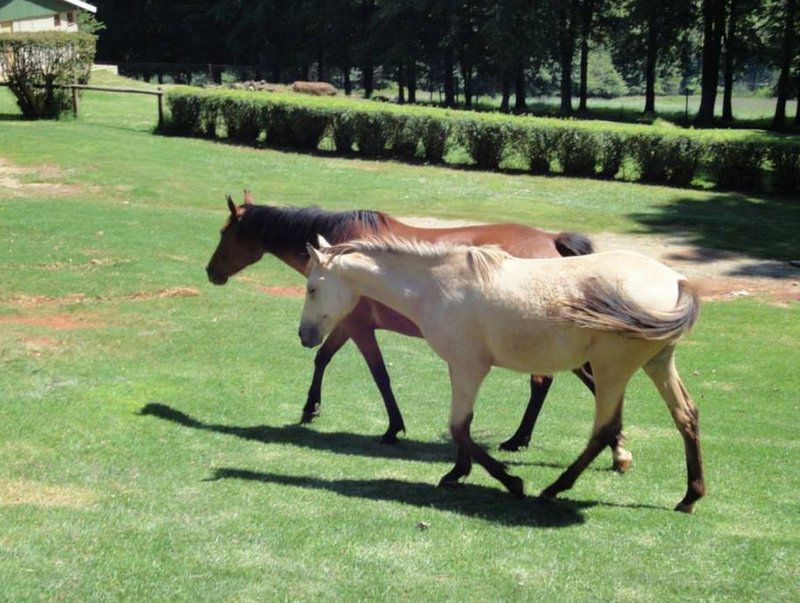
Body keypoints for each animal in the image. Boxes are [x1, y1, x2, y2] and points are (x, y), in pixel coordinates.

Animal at [205, 191, 632, 470]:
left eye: (224, 233)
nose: (210, 272)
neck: (348, 256)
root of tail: (552, 242)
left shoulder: (358, 327)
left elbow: (377, 375)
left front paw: (392, 427)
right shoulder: (347, 325)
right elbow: (324, 358)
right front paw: (312, 407)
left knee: (564, 383)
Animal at [298, 236, 708, 516]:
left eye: (312, 287)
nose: (304, 335)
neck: (438, 285)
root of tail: (676, 280)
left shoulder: (467, 367)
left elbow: (459, 427)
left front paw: (509, 481)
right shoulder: (462, 368)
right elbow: (461, 428)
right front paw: (458, 472)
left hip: (611, 369)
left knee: (605, 429)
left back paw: (555, 488)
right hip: (656, 364)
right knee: (685, 416)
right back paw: (690, 496)